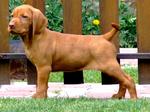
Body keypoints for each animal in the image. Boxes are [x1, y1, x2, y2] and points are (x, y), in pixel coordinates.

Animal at [8, 4, 137, 99]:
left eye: (24, 16)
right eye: (12, 15)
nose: (10, 25)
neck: (36, 37)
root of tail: (104, 37)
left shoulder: (43, 67)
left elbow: (41, 85)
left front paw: (38, 98)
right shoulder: (43, 69)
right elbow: (45, 85)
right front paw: (44, 98)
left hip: (109, 66)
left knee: (128, 79)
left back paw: (134, 99)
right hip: (111, 67)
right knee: (123, 80)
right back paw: (119, 96)